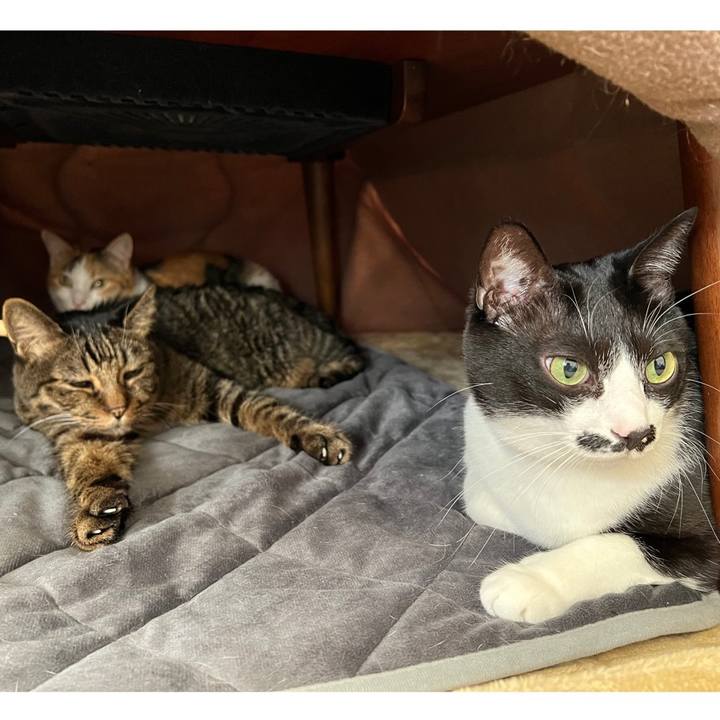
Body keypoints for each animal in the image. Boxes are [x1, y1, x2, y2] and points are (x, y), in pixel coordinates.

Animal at [2, 284, 365, 551]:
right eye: (82, 384)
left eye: (131, 373)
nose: (119, 410)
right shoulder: (78, 434)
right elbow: (90, 468)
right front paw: (96, 510)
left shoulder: (212, 386)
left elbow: (266, 409)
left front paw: (316, 433)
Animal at [462, 207, 720, 624]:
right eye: (569, 369)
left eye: (660, 366)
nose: (637, 433)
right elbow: (482, 503)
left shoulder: (705, 538)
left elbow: (615, 543)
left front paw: (526, 581)